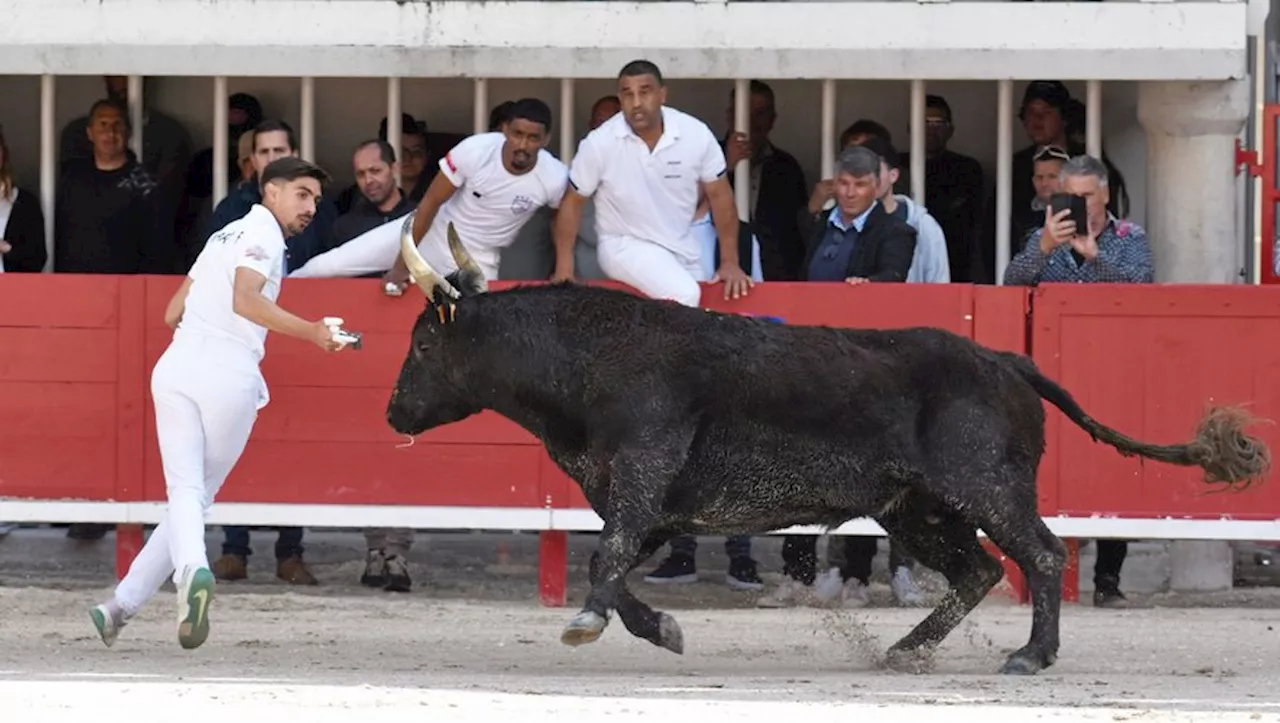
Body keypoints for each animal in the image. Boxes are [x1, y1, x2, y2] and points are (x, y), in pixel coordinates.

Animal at [386, 211, 1269, 675]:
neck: (590, 357)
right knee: (979, 570)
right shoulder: (643, 504)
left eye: (424, 344)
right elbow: (613, 562)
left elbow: (607, 556)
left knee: (1042, 554)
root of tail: (1006, 357)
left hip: (986, 486)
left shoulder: (641, 474)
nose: (393, 413)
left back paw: (1030, 654)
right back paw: (905, 650)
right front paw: (658, 628)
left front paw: (588, 624)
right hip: (918, 507)